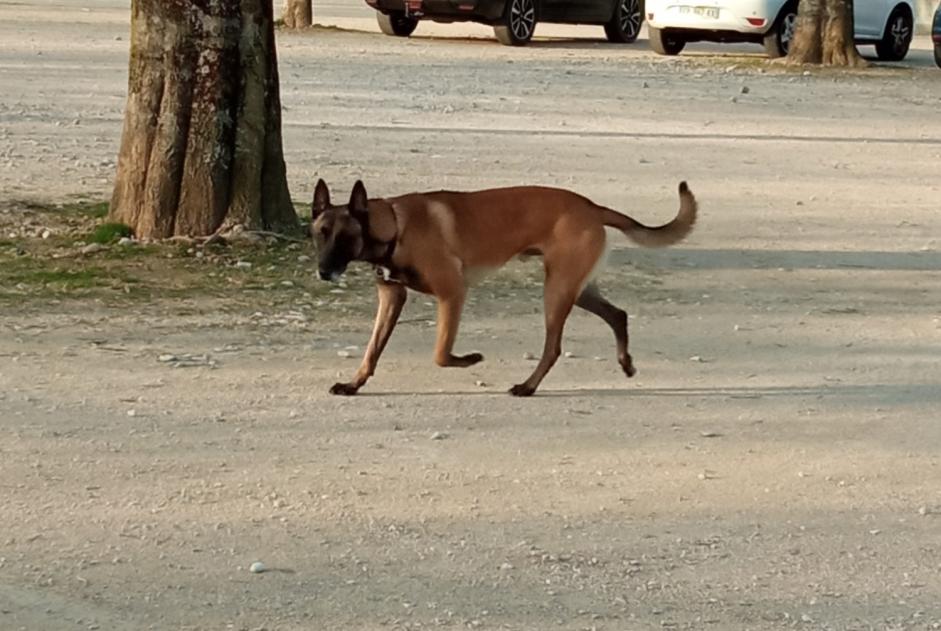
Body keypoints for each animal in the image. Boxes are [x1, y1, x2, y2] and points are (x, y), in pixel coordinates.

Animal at [312, 179, 692, 396]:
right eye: (319, 234)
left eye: (344, 238)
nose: (323, 272)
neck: (394, 226)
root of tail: (592, 206)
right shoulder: (392, 297)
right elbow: (371, 351)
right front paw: (354, 383)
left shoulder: (453, 292)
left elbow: (440, 355)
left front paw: (469, 359)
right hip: (577, 288)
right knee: (618, 315)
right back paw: (625, 363)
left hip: (557, 290)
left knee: (554, 348)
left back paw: (528, 386)